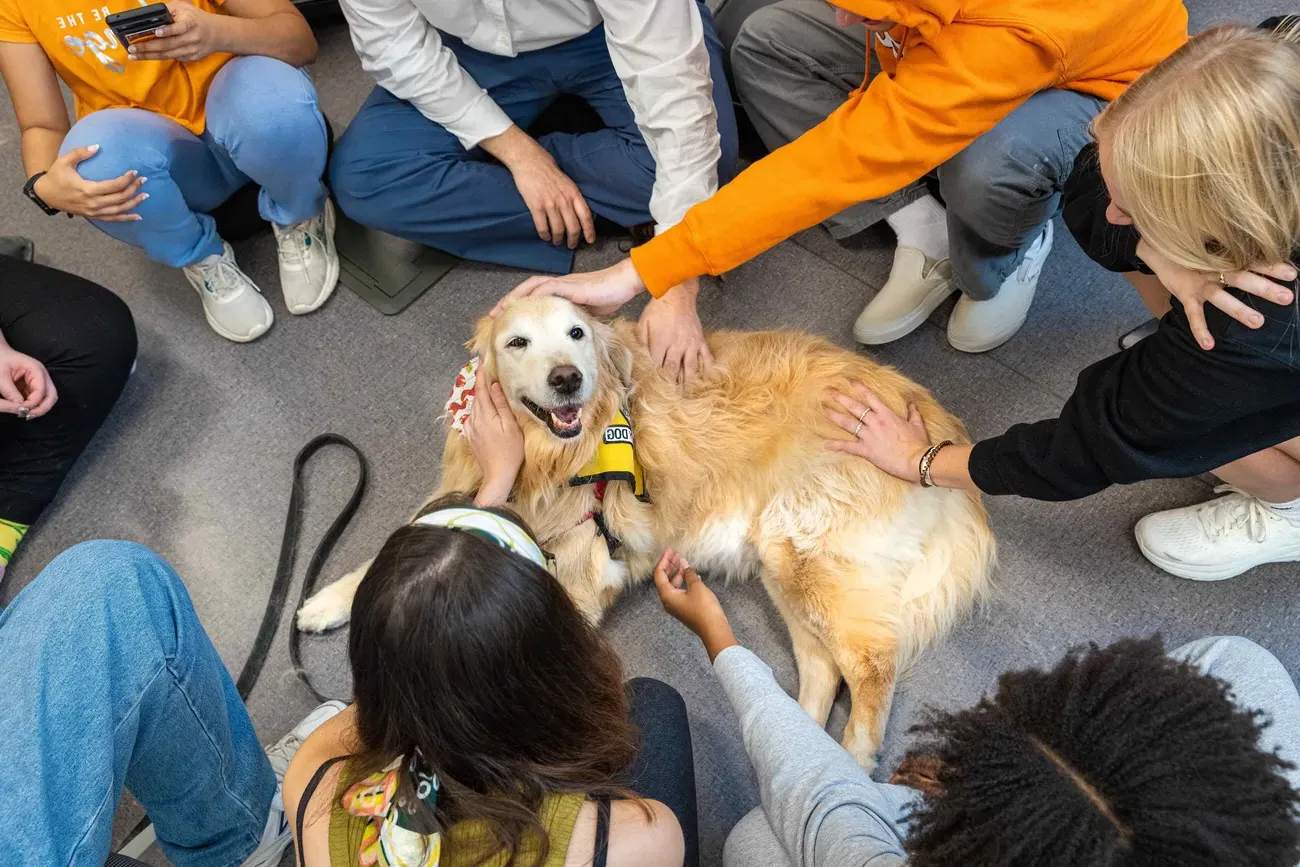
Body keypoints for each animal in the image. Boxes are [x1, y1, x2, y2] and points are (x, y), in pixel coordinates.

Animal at [301, 296, 993, 764]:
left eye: (576, 332)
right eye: (517, 342)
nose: (567, 378)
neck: (550, 463)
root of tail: (933, 423)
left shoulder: (573, 584)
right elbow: (405, 544)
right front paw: (326, 601)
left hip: (808, 552)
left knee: (872, 669)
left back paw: (848, 763)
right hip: (783, 563)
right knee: (824, 670)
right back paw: (796, 744)